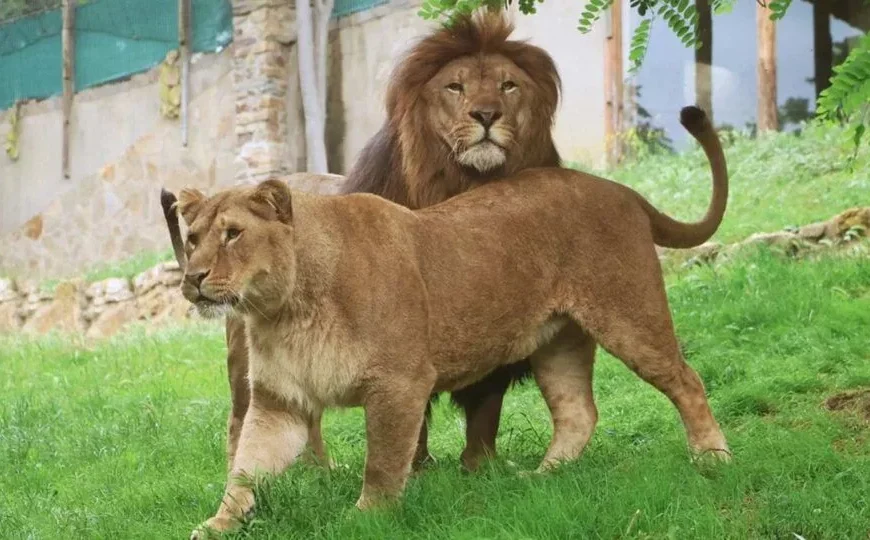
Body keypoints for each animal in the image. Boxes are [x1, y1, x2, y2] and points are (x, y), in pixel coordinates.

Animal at [161, 10, 565, 474]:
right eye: (455, 86)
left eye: (508, 85)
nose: (486, 115)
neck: (465, 184)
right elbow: (411, 419)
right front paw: (416, 470)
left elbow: (485, 409)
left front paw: (482, 470)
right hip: (247, 355)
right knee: (243, 417)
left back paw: (318, 473)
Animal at [179, 106, 731, 537]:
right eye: (192, 238)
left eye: (232, 234)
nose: (193, 277)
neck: (284, 310)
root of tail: (623, 190)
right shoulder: (281, 403)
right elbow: (245, 469)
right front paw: (217, 524)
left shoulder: (399, 383)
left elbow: (383, 463)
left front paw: (365, 518)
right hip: (558, 342)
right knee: (579, 412)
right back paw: (540, 478)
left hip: (628, 315)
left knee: (685, 379)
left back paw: (713, 458)